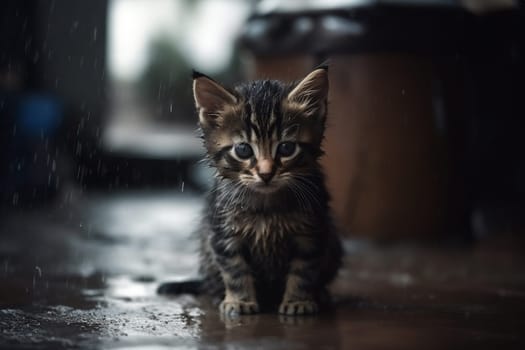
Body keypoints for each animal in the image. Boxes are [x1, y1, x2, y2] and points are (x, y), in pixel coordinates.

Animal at [158, 67, 342, 316]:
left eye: (286, 148)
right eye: (243, 150)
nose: (266, 174)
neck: (267, 206)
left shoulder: (312, 233)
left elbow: (304, 271)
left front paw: (298, 301)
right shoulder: (223, 233)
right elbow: (235, 270)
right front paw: (240, 300)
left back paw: (321, 294)